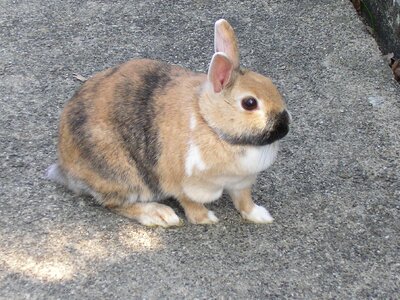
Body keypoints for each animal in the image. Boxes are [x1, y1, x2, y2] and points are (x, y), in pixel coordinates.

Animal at [47, 19, 290, 226]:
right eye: (249, 103)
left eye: (271, 84)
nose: (284, 126)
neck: (210, 123)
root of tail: (65, 167)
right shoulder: (182, 183)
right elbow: (191, 204)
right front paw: (206, 219)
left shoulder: (241, 182)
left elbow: (244, 201)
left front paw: (261, 216)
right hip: (123, 174)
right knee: (114, 203)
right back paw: (160, 215)